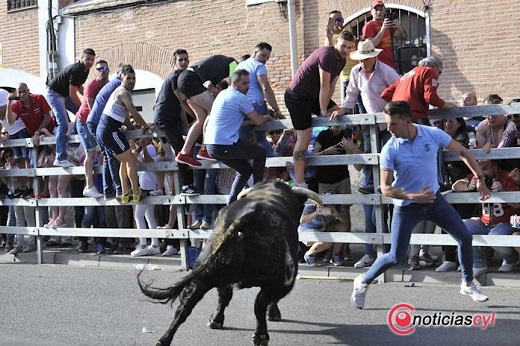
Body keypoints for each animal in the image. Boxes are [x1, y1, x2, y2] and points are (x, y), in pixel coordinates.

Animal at [137, 181, 324, 346]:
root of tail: (250, 216)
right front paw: (273, 314)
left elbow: (224, 296)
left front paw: (216, 320)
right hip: (281, 281)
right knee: (260, 303)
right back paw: (261, 336)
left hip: (205, 274)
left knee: (185, 307)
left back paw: (164, 340)